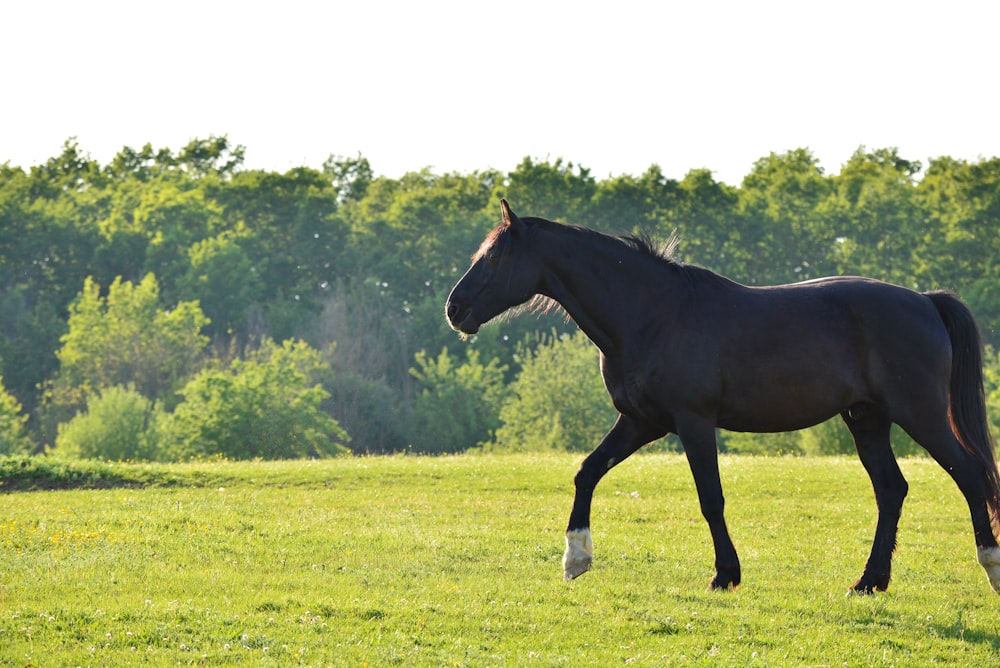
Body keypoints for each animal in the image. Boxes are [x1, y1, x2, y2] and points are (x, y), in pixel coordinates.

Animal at [450, 200, 1000, 596]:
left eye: (495, 256)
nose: (455, 308)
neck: (653, 314)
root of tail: (926, 300)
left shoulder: (693, 422)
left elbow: (710, 498)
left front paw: (725, 574)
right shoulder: (641, 422)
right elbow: (587, 472)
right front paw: (576, 558)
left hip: (920, 414)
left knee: (969, 476)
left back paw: (989, 567)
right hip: (867, 418)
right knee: (891, 490)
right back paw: (869, 582)